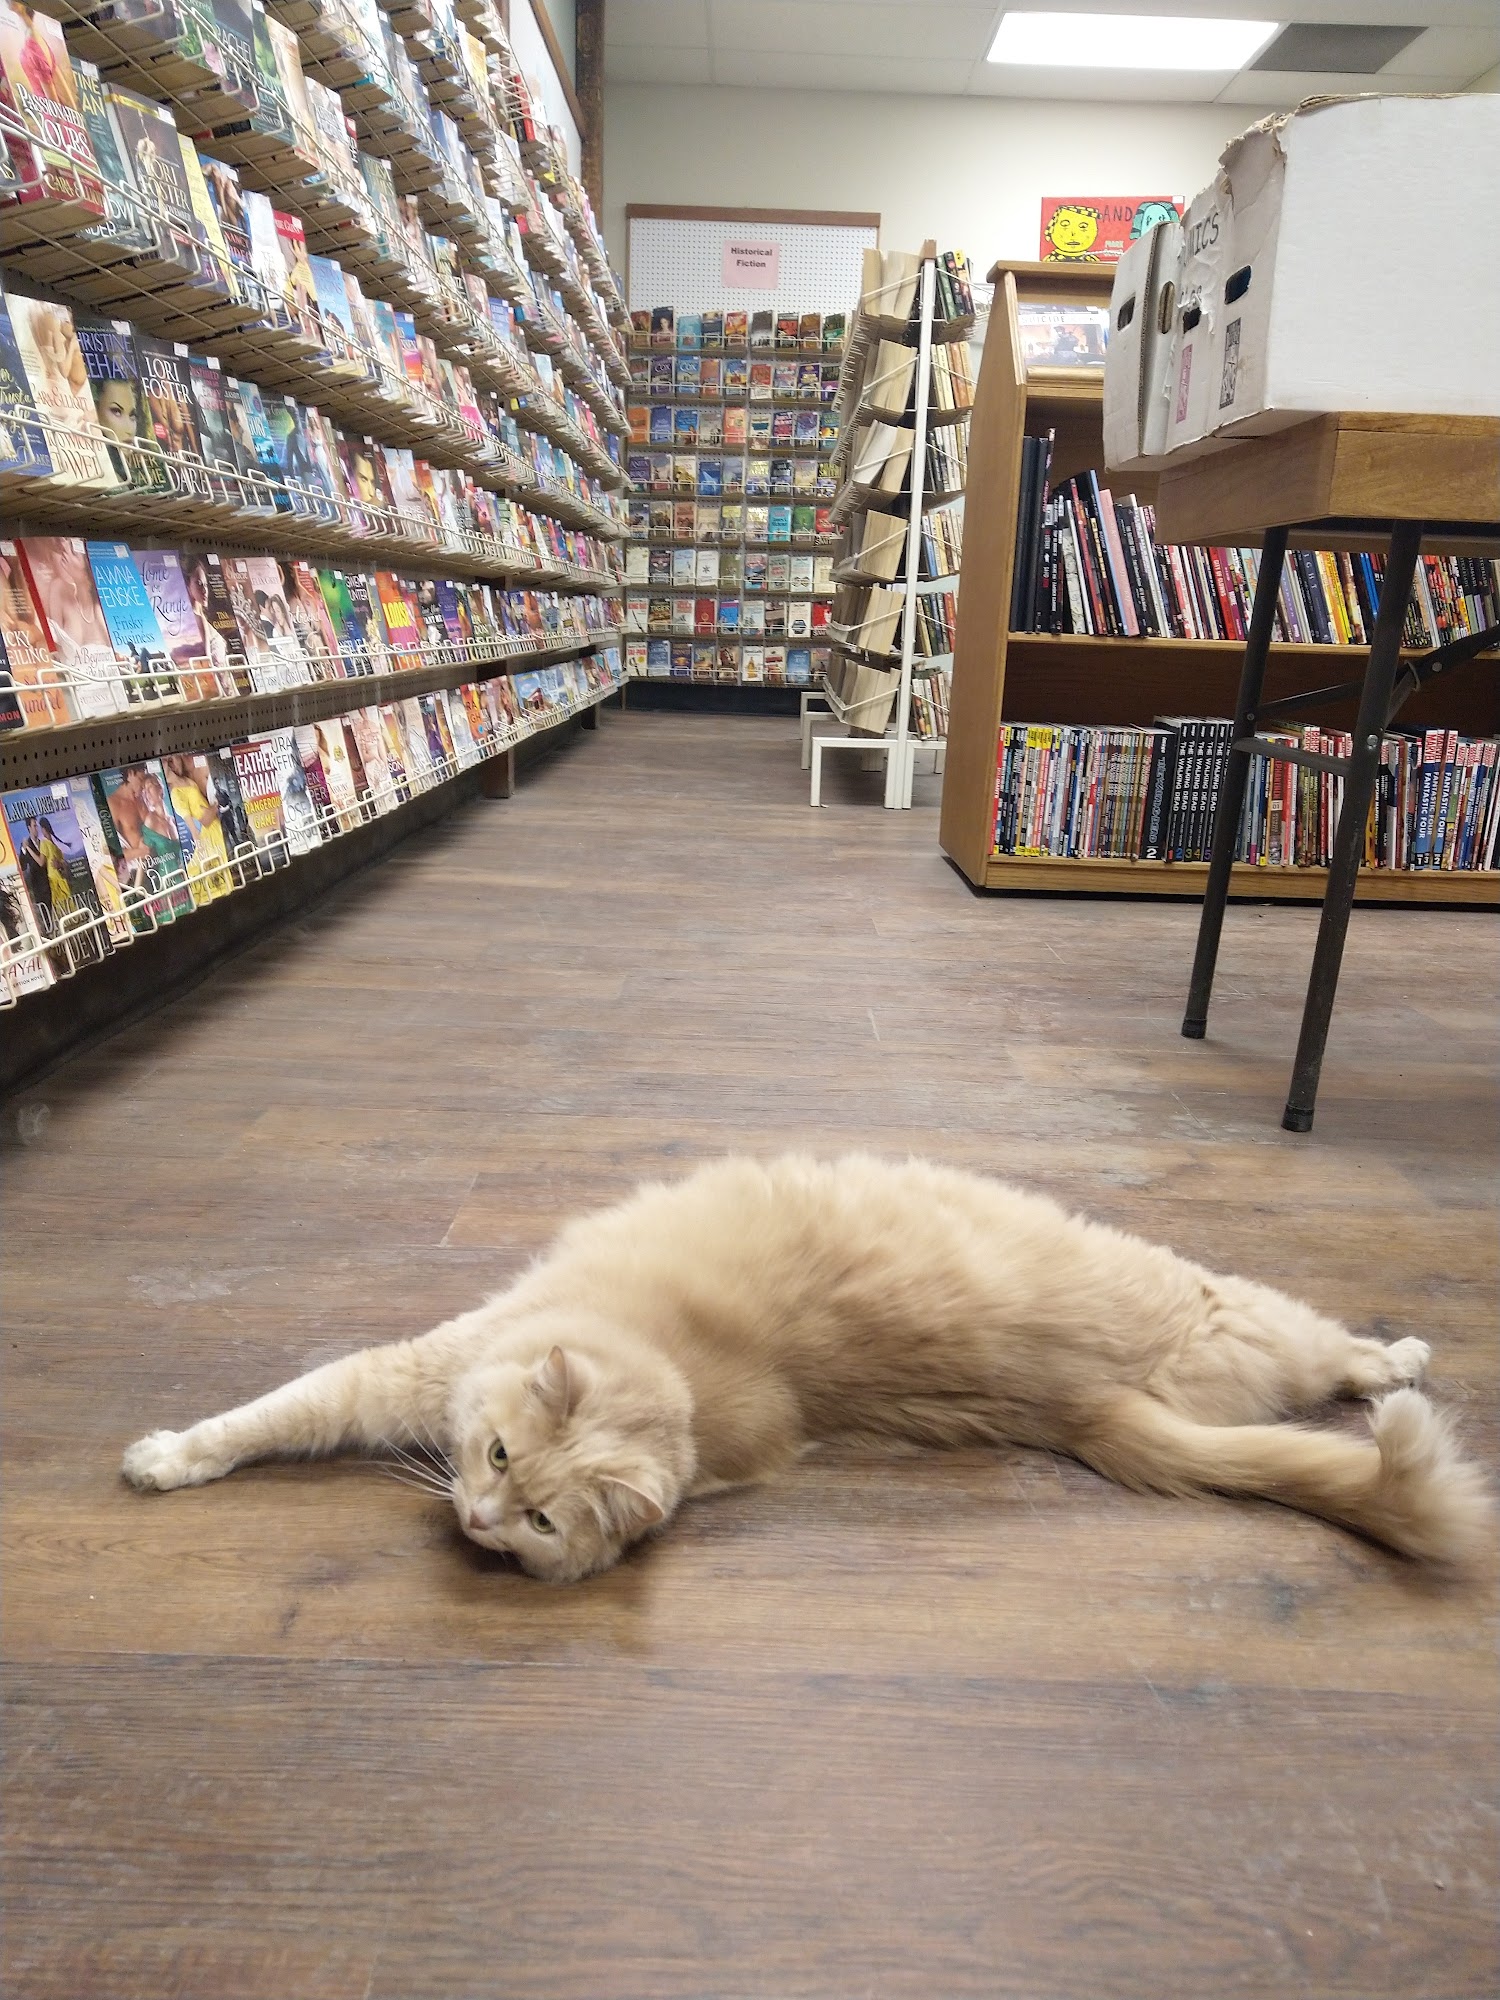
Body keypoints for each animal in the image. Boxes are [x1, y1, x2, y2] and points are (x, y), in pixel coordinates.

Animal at [122, 1154, 1492, 1582]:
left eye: (542, 1519)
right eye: (498, 1456)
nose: (476, 1516)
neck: (674, 1356)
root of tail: (1077, 1402)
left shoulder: (416, 1364)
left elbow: (285, 1405)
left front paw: (166, 1455)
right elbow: (277, 1410)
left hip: (1244, 1306)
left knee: (1353, 1353)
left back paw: (1408, 1352)